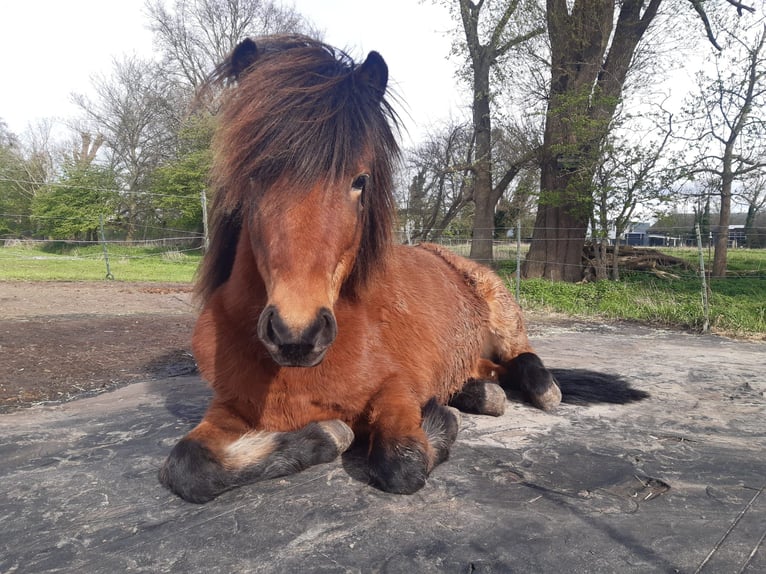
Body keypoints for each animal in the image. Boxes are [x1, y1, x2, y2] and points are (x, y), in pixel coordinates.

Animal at [159, 36, 564, 504]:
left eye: (360, 180)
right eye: (256, 173)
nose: (297, 334)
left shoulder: (395, 393)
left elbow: (402, 462)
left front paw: (441, 419)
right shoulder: (227, 408)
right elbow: (189, 466)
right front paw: (324, 436)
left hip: (503, 316)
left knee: (522, 357)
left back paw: (540, 391)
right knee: (488, 372)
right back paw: (479, 392)